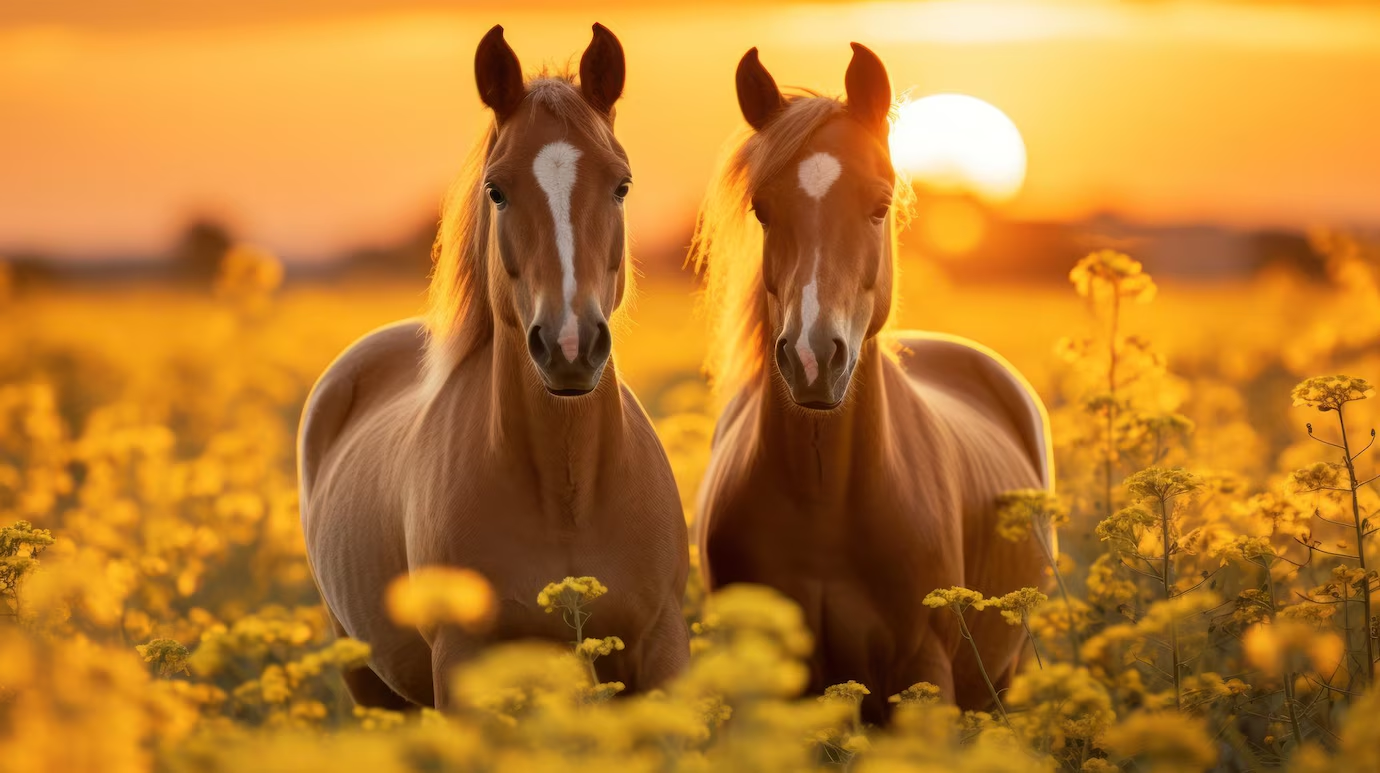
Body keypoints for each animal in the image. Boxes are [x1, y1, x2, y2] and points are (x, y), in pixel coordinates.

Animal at [300, 22, 690, 712]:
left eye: (621, 185)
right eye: (497, 189)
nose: (570, 345)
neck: (568, 494)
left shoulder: (660, 653)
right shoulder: (463, 667)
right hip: (368, 683)